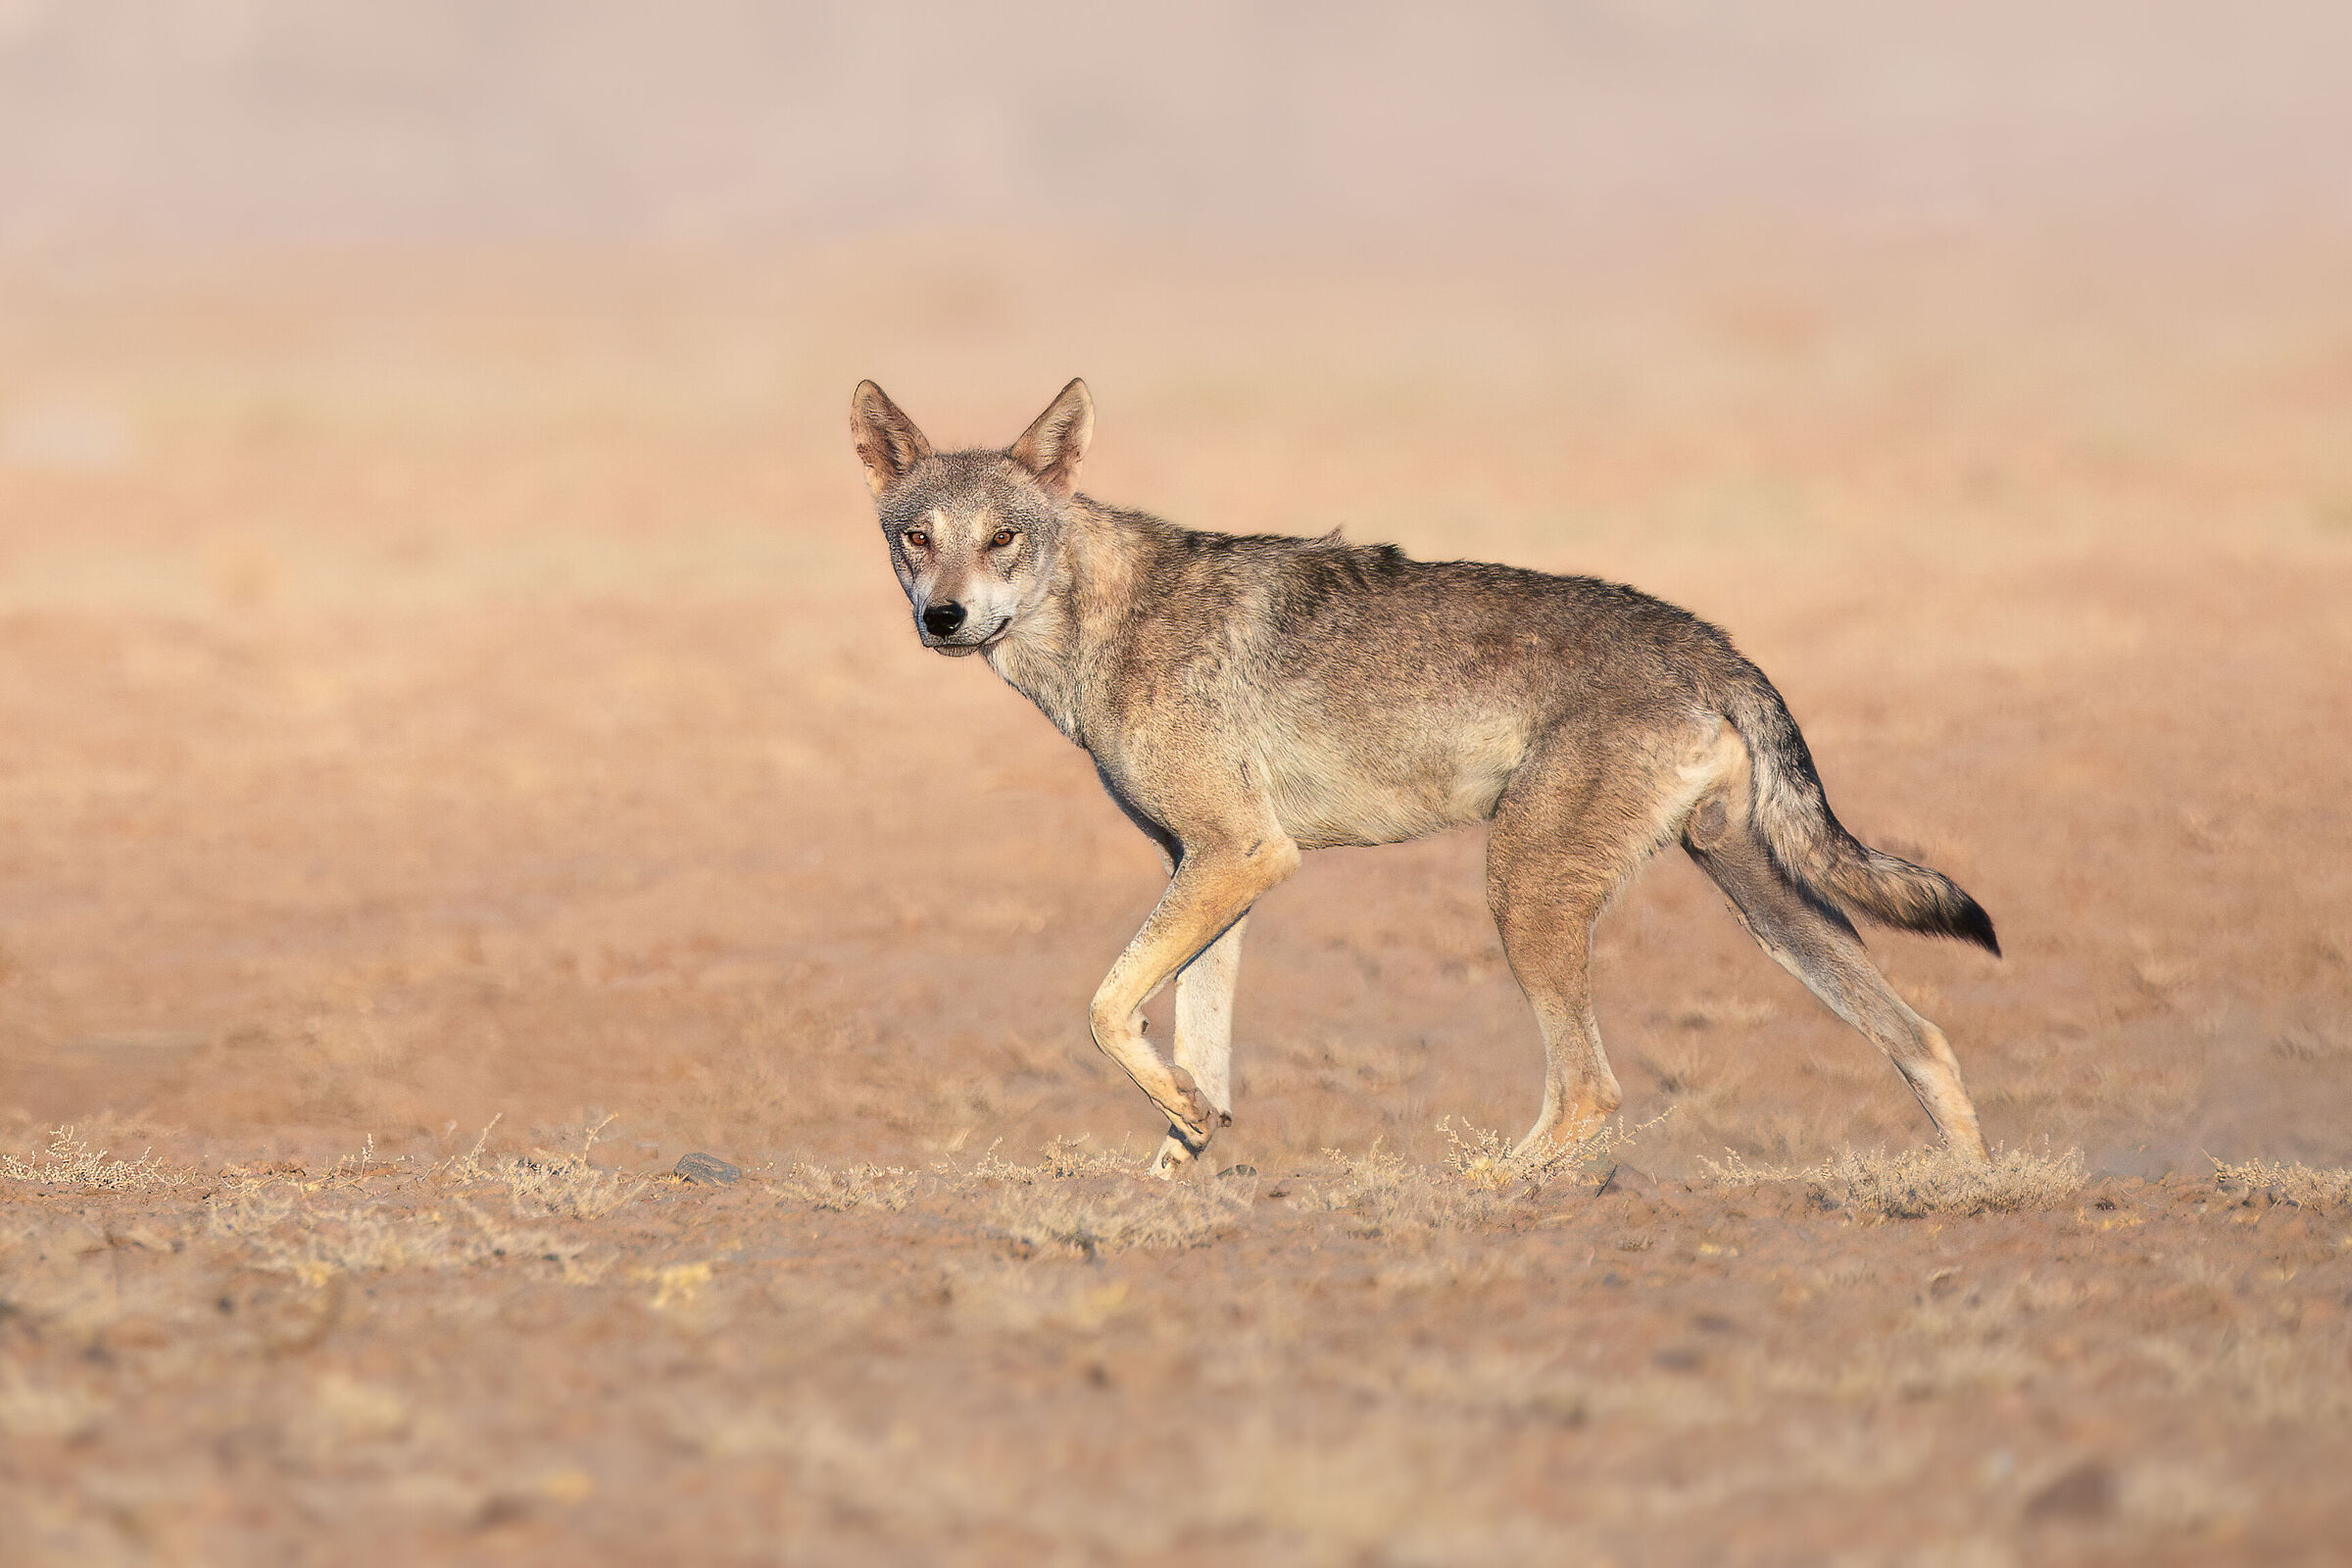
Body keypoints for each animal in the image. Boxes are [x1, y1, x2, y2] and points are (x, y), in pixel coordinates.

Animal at [851, 378, 2000, 1175]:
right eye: (918, 538)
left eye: (1004, 537)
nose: (943, 618)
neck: (1103, 625)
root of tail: (1711, 642)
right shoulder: (1215, 865)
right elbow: (1191, 1046)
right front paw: (1180, 1162)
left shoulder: (1242, 854)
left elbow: (1104, 1007)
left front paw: (1179, 1128)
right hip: (1759, 906)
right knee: (1926, 1042)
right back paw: (1972, 1191)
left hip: (1524, 894)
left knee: (1593, 1094)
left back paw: (1480, 1186)